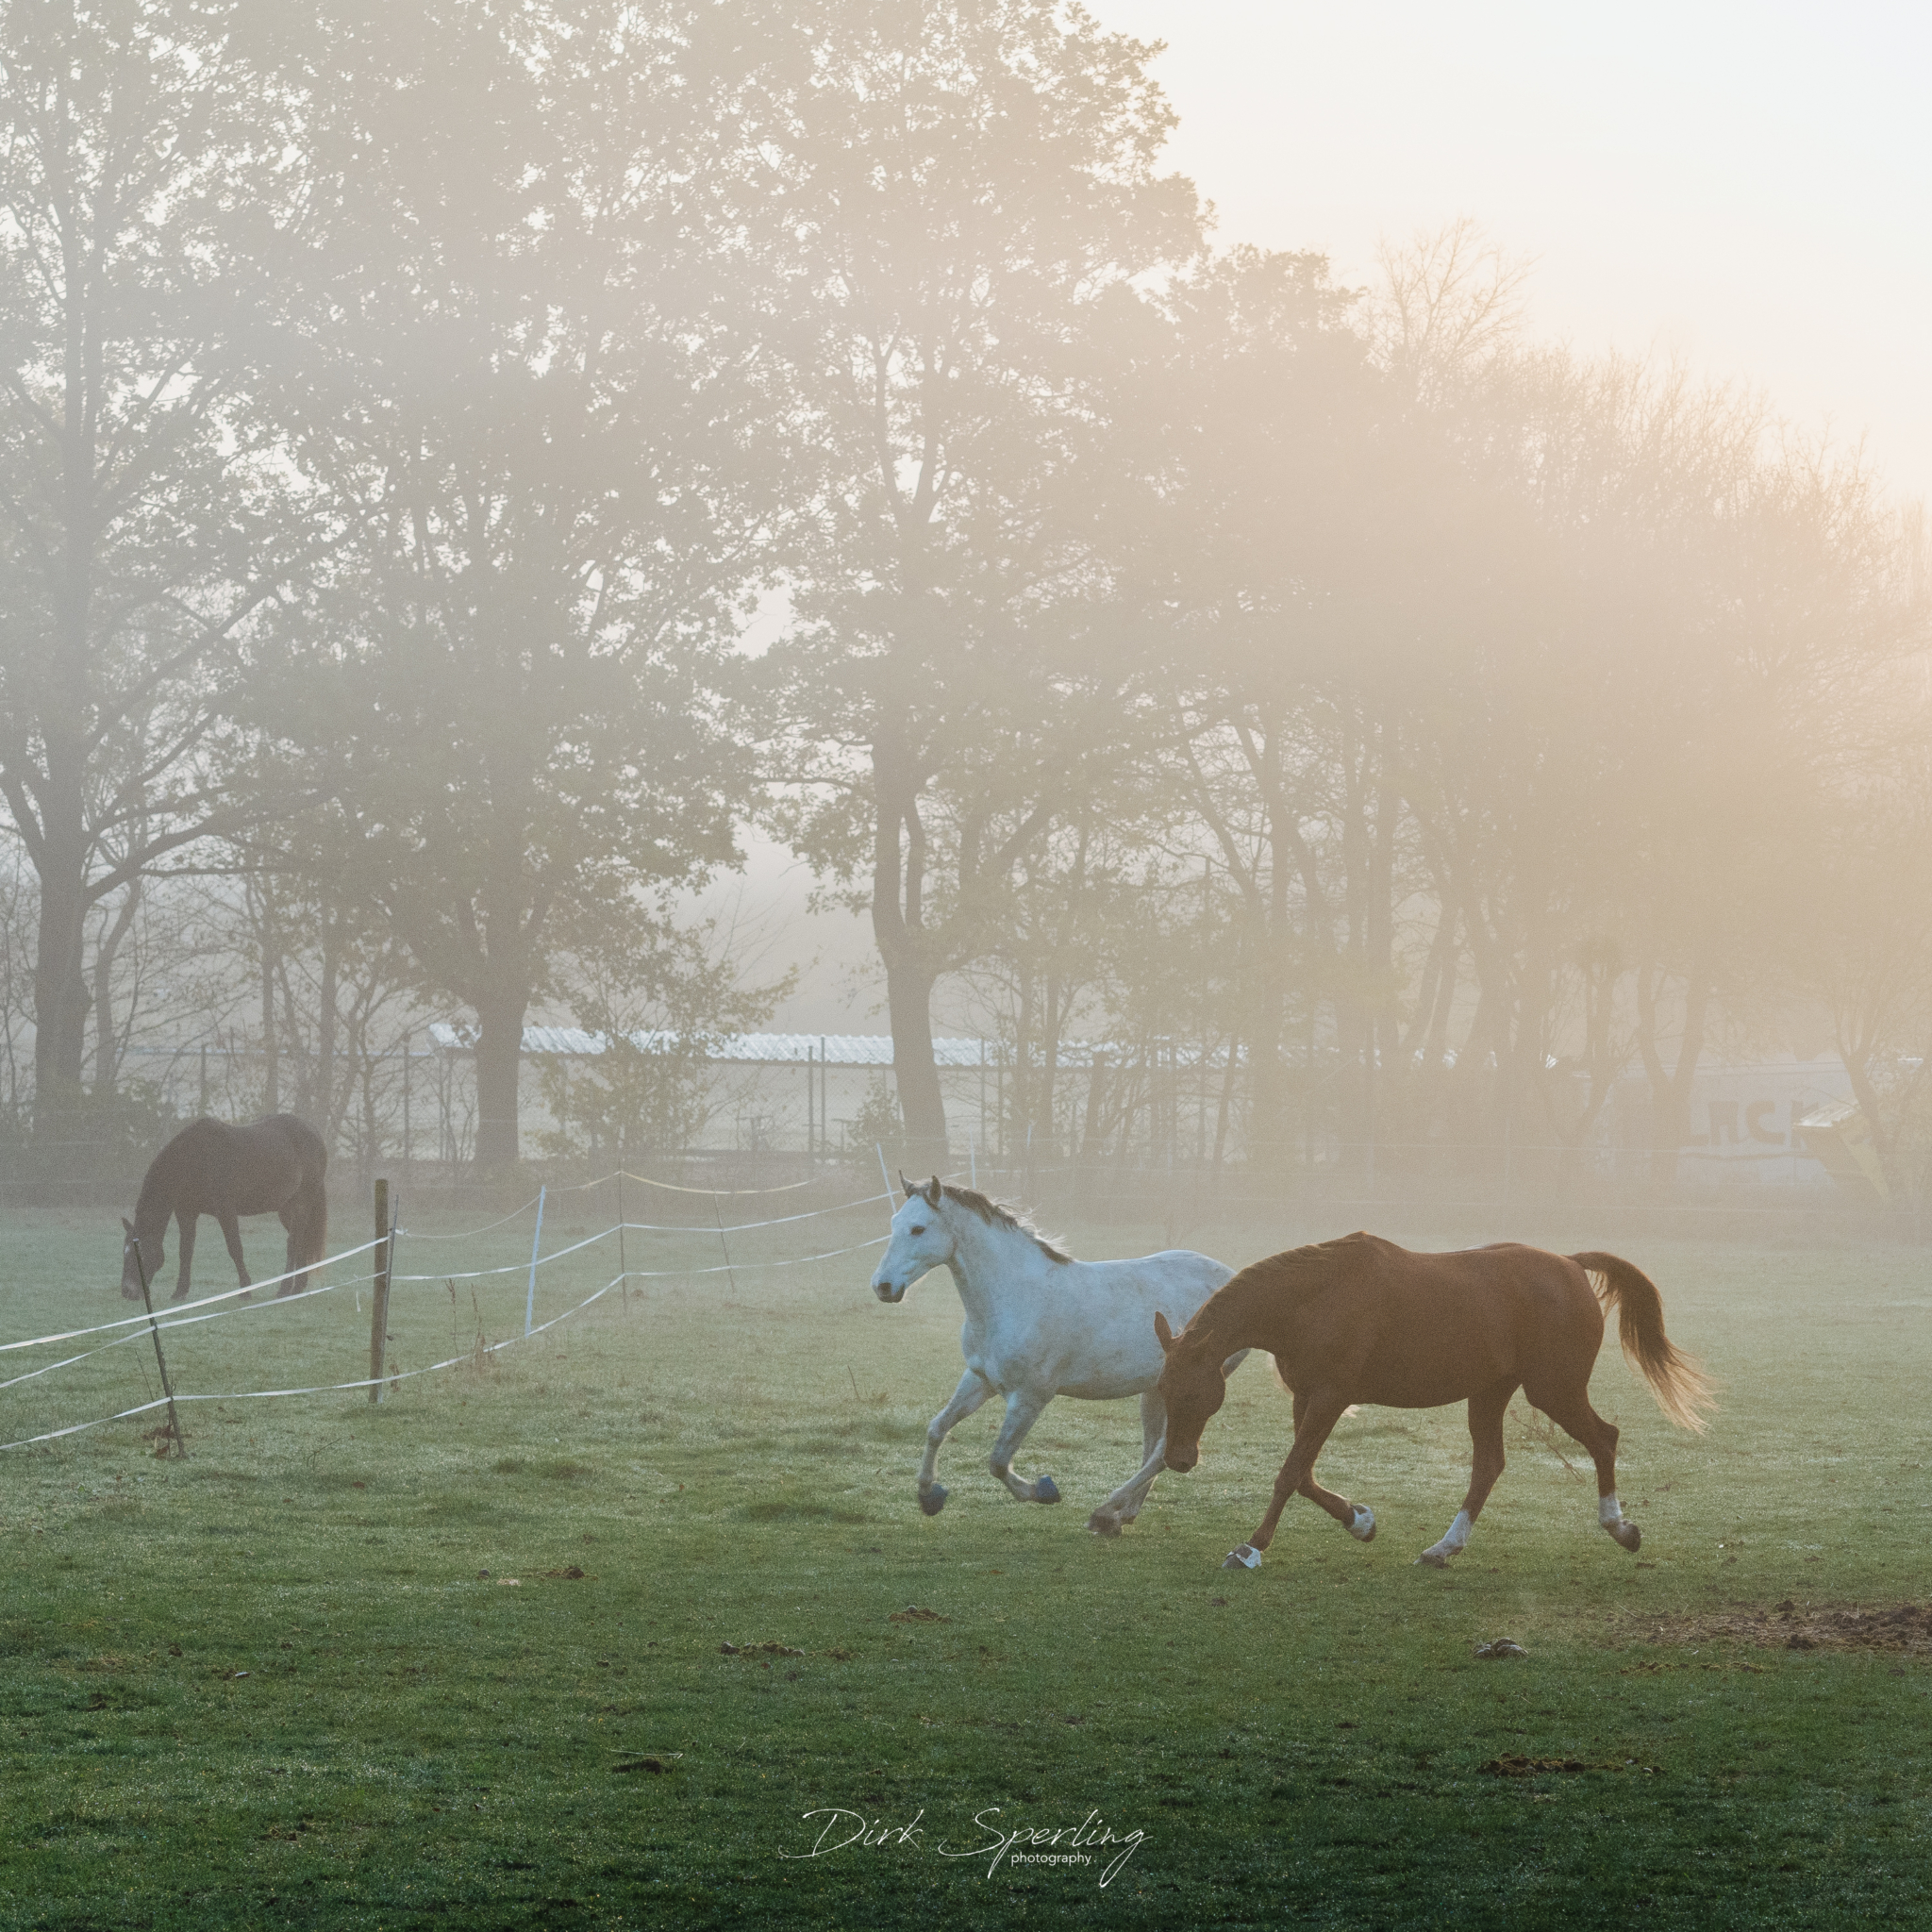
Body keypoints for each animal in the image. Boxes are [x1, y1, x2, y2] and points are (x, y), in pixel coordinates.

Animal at [120, 1114, 330, 1304]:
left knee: (293, 1243)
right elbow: (185, 1251)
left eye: (140, 1254)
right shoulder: (186, 1212)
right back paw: (297, 1287)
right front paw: (180, 1292)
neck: (193, 1159)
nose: (127, 1292)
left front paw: (245, 1290)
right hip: (287, 1211)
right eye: (124, 1252)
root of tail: (314, 1132)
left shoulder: (225, 1211)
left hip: (301, 1203)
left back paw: (284, 1289)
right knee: (301, 1240)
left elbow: (235, 1248)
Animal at [870, 1173, 1246, 1534]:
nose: (882, 1286)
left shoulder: (1030, 1397)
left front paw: (1043, 1491)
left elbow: (998, 1461)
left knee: (1162, 1451)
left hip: (1192, 1388)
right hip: (1155, 1390)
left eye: (919, 1229)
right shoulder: (980, 1380)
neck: (1016, 1298)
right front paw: (929, 1496)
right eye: (893, 1223)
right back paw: (1121, 1517)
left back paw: (1103, 1513)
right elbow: (937, 1427)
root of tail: (1232, 1277)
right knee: (1156, 1447)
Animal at [1153, 1232, 1714, 1571]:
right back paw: (1444, 1547)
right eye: (1163, 1389)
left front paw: (1250, 1548)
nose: (1178, 1460)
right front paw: (1360, 1521)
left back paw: (1620, 1527)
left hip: (1554, 1390)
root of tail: (1570, 1266)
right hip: (1490, 1394)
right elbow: (1305, 1475)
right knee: (1489, 1464)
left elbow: (1290, 1474)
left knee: (1603, 1439)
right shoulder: (1308, 1397)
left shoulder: (1330, 1397)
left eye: (1193, 1393)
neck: (1315, 1296)